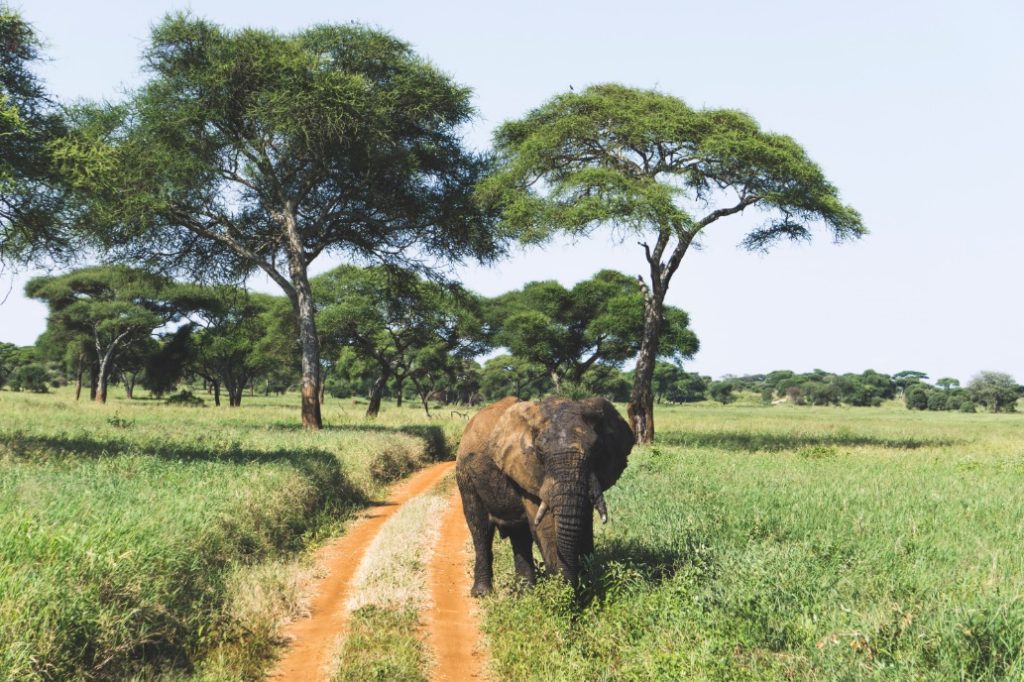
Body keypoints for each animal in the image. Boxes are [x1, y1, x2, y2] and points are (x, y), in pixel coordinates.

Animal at [456, 393, 630, 593]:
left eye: (597, 449)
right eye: (539, 451)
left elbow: (584, 523)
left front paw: (585, 591)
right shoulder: (527, 470)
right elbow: (545, 525)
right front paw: (563, 595)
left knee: (520, 536)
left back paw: (524, 592)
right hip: (465, 475)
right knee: (480, 529)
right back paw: (483, 593)